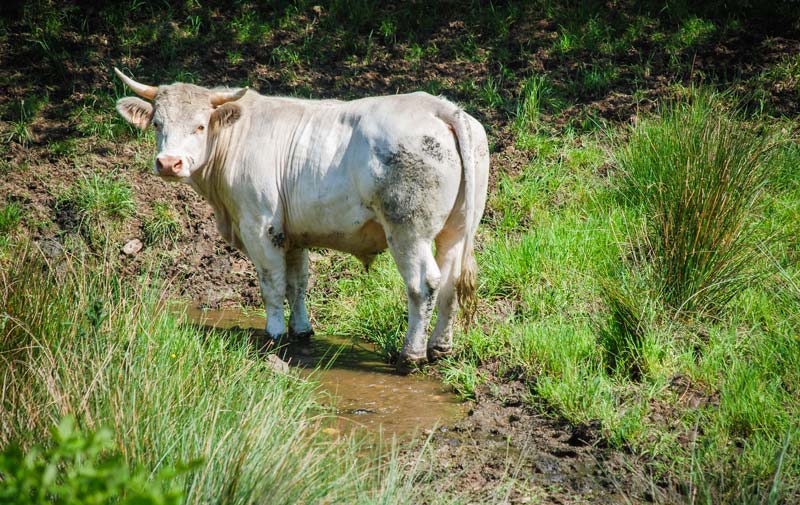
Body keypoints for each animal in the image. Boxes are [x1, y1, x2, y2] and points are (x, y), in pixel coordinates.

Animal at [113, 68, 490, 370]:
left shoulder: (260, 226)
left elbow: (271, 283)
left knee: (423, 284)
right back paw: (440, 347)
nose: (169, 163)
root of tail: (436, 105)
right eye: (158, 124)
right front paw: (301, 330)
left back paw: (411, 355)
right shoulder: (292, 233)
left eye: (200, 125)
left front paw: (275, 332)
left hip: (408, 229)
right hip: (456, 229)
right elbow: (297, 283)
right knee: (451, 283)